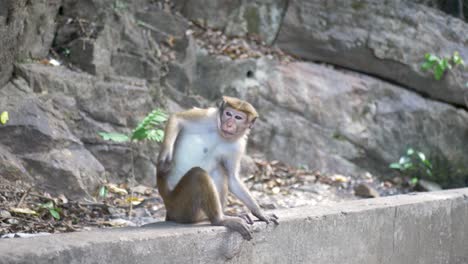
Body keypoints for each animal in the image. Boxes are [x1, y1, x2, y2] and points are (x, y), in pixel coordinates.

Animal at [157, 96, 278, 240]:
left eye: (238, 117)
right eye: (228, 114)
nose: (229, 124)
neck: (221, 134)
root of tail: (168, 206)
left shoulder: (238, 146)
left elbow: (232, 178)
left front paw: (259, 212)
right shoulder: (210, 116)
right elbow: (177, 118)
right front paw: (165, 155)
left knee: (219, 171)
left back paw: (217, 216)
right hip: (179, 207)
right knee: (198, 175)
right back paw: (220, 220)